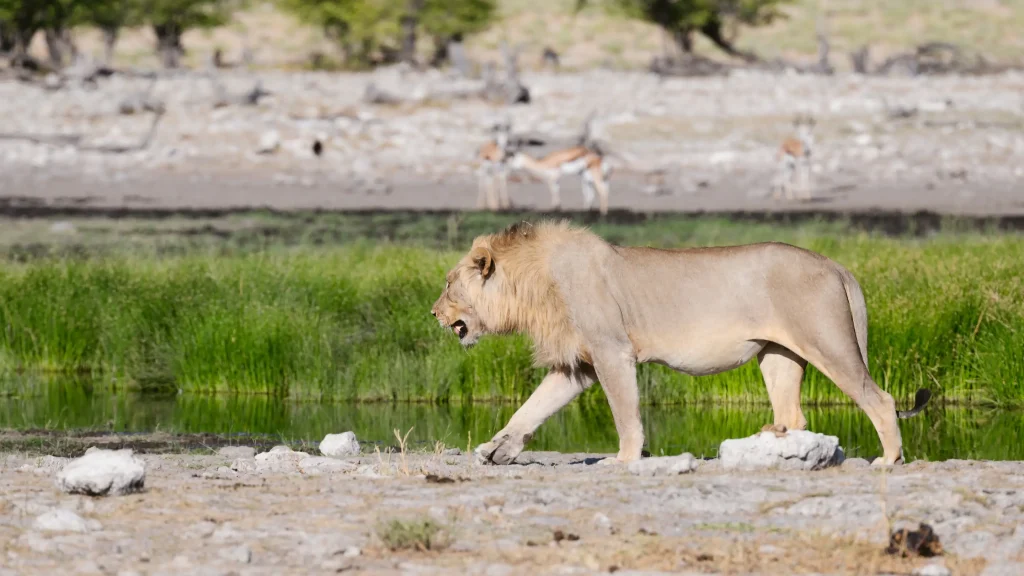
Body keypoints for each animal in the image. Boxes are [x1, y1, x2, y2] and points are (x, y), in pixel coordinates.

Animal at [430, 222, 931, 466]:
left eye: (449, 284)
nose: (434, 313)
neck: (532, 285)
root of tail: (835, 264)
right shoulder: (579, 365)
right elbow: (530, 408)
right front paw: (498, 450)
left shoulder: (612, 352)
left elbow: (625, 413)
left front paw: (624, 460)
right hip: (778, 355)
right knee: (794, 414)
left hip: (827, 342)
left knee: (880, 399)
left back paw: (888, 460)